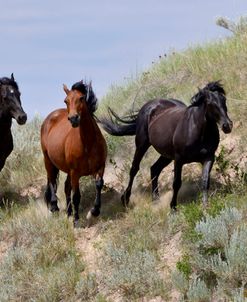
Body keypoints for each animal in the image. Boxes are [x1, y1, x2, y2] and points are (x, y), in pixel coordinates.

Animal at [40, 81, 106, 226]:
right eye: (66, 101)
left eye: (81, 98)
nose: (73, 118)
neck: (88, 143)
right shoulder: (75, 173)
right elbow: (76, 196)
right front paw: (76, 221)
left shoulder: (100, 167)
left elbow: (99, 185)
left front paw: (95, 211)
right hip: (48, 161)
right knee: (52, 182)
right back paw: (55, 207)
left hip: (67, 170)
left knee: (65, 187)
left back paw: (69, 213)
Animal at [98, 82, 232, 210]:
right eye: (210, 103)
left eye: (224, 99)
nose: (227, 125)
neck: (197, 131)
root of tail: (149, 105)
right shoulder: (179, 159)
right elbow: (176, 183)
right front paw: (173, 208)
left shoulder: (208, 158)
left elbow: (205, 181)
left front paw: (205, 206)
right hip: (142, 145)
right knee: (134, 169)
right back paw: (125, 199)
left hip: (166, 155)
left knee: (154, 169)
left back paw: (155, 200)